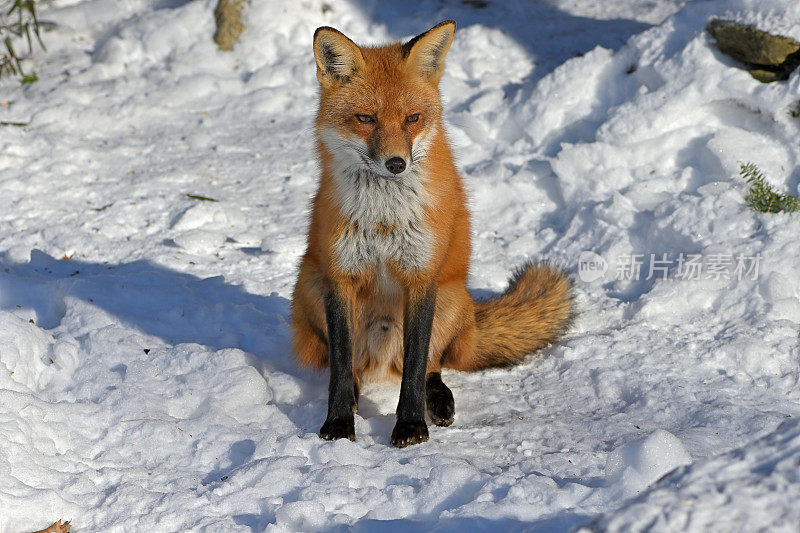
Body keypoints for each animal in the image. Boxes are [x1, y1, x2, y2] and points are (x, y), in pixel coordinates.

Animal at [290, 19, 572, 444]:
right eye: (366, 119)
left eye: (413, 118)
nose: (396, 163)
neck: (384, 218)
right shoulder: (341, 277)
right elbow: (339, 366)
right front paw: (338, 423)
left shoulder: (421, 277)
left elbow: (416, 362)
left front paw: (410, 425)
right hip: (309, 284)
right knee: (353, 367)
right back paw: (357, 394)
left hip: (450, 297)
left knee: (431, 366)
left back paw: (437, 399)